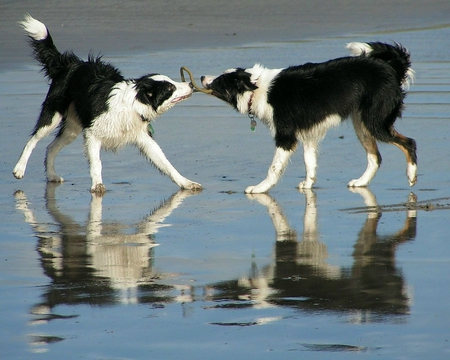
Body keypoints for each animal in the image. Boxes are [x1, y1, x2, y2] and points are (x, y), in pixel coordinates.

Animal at [13, 15, 200, 194]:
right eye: (170, 88)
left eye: (172, 83)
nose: (191, 84)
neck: (133, 104)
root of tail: (70, 64)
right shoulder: (92, 134)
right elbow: (96, 163)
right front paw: (97, 187)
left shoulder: (144, 139)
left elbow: (166, 164)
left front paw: (186, 183)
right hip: (53, 115)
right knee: (33, 140)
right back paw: (19, 169)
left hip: (72, 127)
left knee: (51, 147)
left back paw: (52, 175)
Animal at [202, 41, 416, 194]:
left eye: (220, 80)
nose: (203, 76)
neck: (258, 89)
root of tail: (391, 68)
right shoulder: (308, 133)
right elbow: (309, 162)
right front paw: (308, 184)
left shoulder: (286, 137)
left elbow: (274, 168)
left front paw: (259, 188)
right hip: (362, 123)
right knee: (375, 157)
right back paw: (361, 182)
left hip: (375, 123)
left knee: (409, 143)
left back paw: (411, 176)